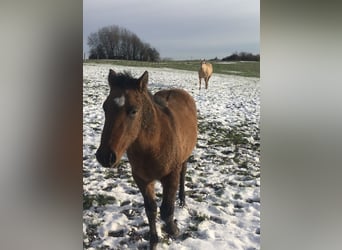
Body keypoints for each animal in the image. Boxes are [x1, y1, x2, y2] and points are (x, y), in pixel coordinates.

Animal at [96, 69, 198, 249]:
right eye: (105, 107)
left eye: (133, 110)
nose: (105, 156)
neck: (153, 145)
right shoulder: (142, 179)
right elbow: (151, 209)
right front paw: (154, 241)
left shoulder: (170, 175)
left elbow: (166, 210)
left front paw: (174, 229)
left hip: (185, 156)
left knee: (183, 172)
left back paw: (182, 199)